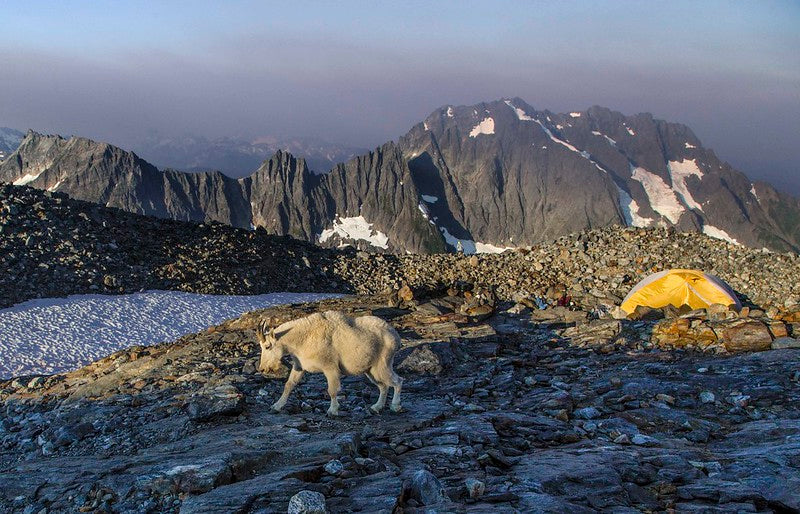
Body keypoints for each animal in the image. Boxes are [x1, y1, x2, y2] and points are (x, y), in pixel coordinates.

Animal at [255, 311, 404, 416]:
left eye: (268, 346)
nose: (262, 369)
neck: (302, 338)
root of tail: (395, 335)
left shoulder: (330, 367)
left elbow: (332, 390)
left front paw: (332, 411)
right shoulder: (299, 366)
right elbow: (289, 385)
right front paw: (276, 406)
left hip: (383, 363)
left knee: (397, 380)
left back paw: (395, 406)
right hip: (370, 370)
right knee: (383, 386)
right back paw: (376, 407)